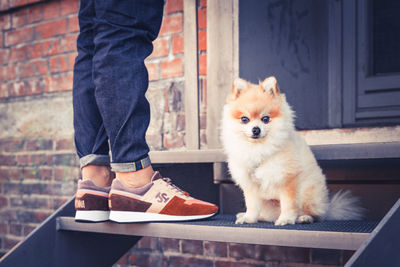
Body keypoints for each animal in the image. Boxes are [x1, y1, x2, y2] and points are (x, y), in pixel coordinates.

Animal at [220, 77, 364, 226]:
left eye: (265, 119)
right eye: (244, 119)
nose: (256, 129)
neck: (259, 149)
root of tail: (328, 208)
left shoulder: (288, 181)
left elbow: (288, 204)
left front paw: (286, 219)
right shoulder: (251, 186)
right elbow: (252, 205)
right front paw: (249, 218)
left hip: (308, 192)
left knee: (316, 214)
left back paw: (305, 218)